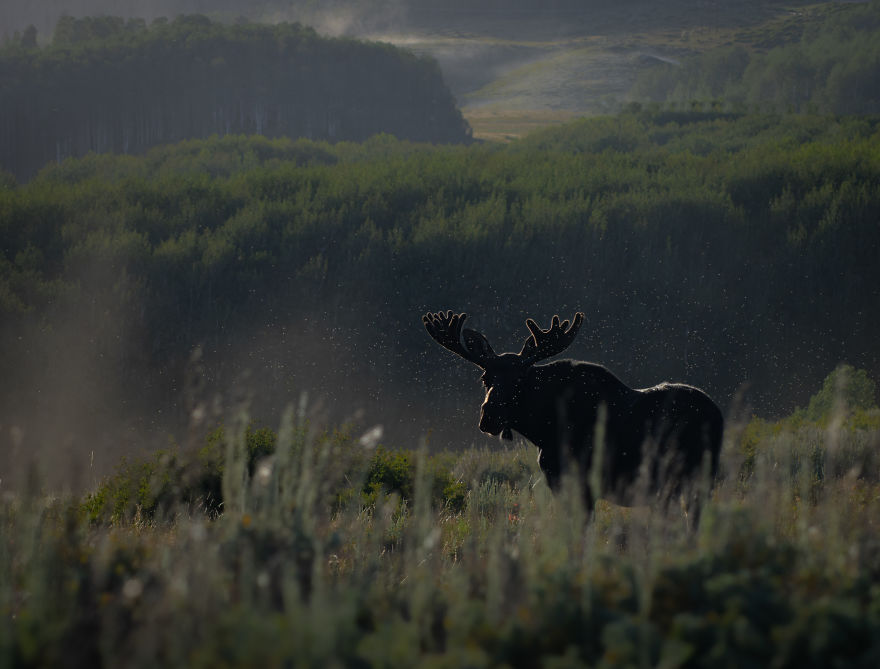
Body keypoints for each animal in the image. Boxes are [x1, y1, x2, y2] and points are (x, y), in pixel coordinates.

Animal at [422, 310, 724, 526]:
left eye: (520, 380)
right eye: (485, 378)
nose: (489, 418)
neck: (543, 429)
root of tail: (719, 413)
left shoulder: (585, 482)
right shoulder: (556, 481)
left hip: (697, 476)